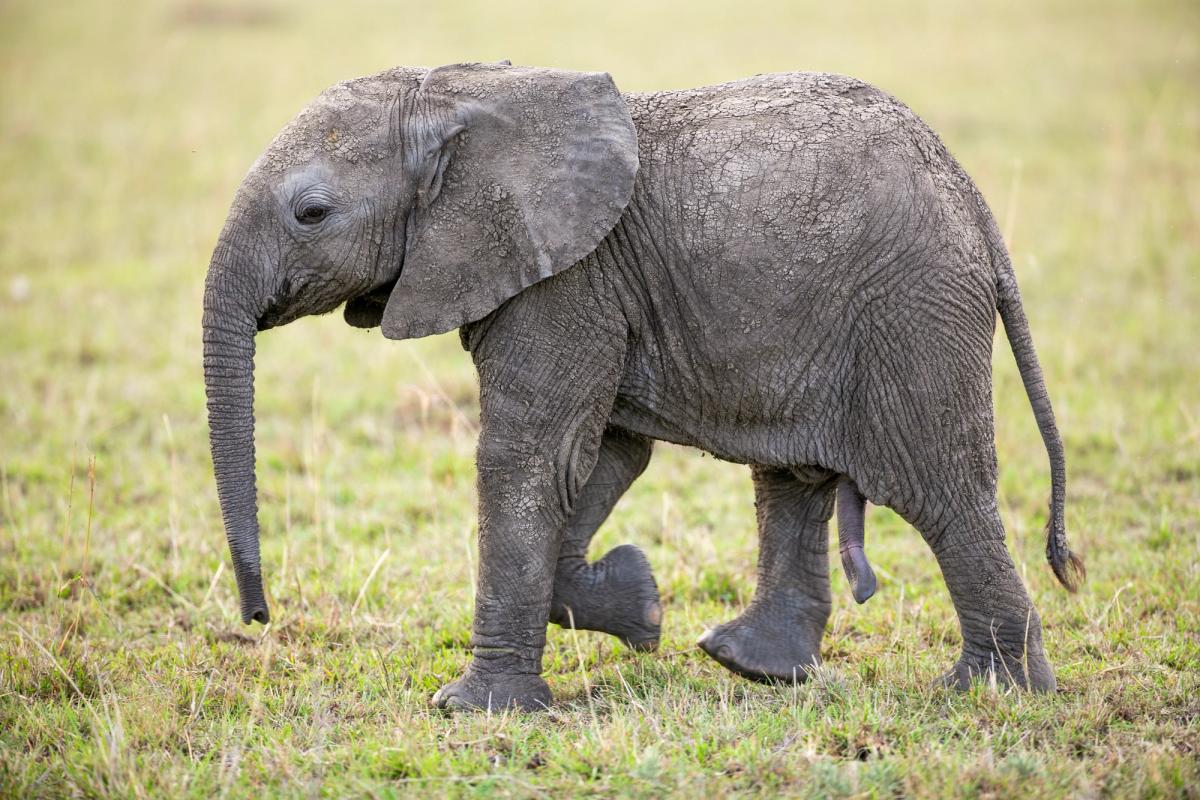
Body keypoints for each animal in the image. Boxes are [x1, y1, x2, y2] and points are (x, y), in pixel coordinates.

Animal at [202, 62, 1085, 712]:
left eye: (311, 213)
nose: (259, 617)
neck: (456, 95)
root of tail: (973, 203)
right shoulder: (585, 290)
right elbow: (599, 458)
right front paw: (643, 608)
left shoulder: (566, 283)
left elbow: (528, 460)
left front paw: (472, 710)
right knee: (791, 479)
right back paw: (754, 666)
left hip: (912, 313)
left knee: (942, 492)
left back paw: (994, 694)